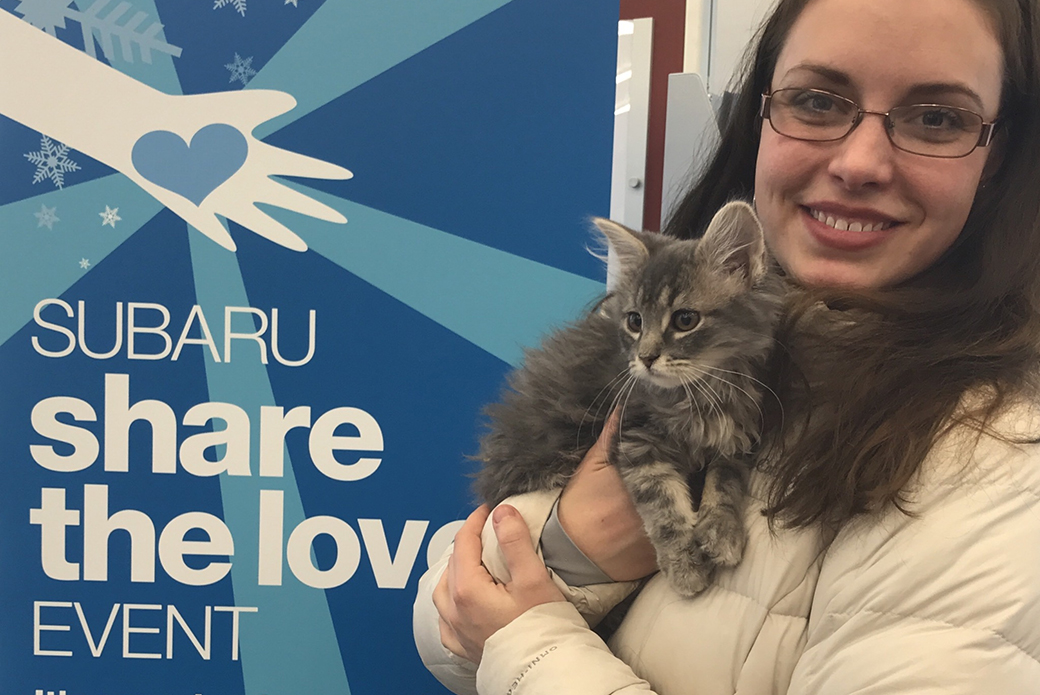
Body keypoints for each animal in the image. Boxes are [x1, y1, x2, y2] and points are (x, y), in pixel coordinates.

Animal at [472, 201, 782, 599]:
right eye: (635, 321)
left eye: (685, 319)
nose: (646, 357)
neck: (698, 391)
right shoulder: (633, 439)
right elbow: (663, 507)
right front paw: (684, 566)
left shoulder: (736, 435)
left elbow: (726, 482)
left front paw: (721, 531)